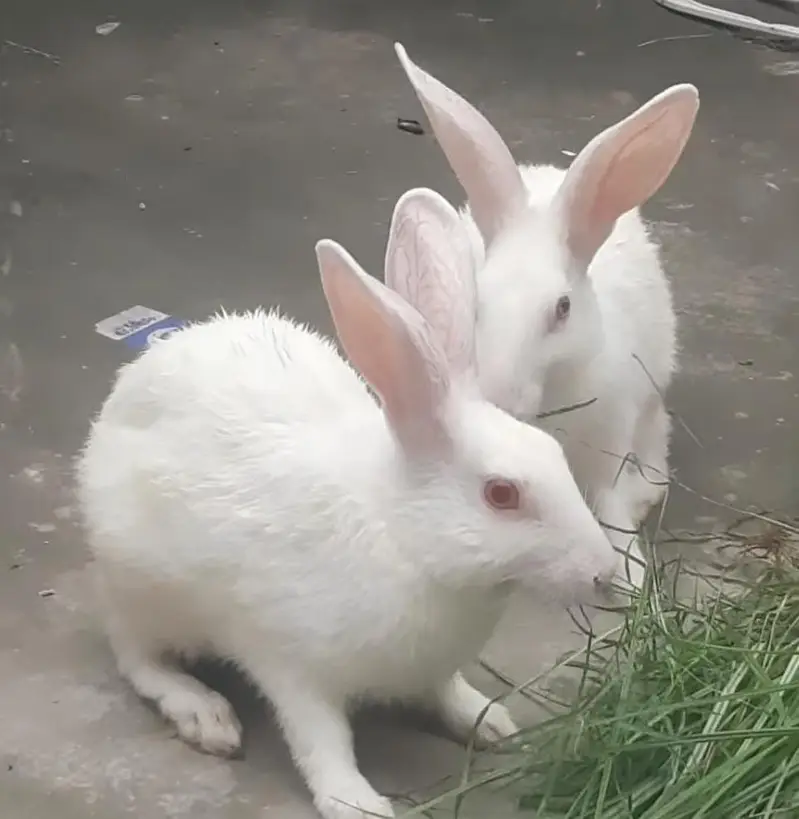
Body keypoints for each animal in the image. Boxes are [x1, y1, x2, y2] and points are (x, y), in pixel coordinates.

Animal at [75, 186, 620, 819]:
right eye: (501, 494)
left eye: (553, 453)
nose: (604, 572)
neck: (406, 537)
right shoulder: (290, 662)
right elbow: (320, 740)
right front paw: (357, 803)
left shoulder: (433, 666)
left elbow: (446, 691)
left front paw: (490, 722)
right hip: (143, 586)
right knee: (136, 655)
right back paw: (204, 713)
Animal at [393, 42, 700, 588]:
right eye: (478, 299)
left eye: (562, 308)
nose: (500, 396)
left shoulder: (608, 442)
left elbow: (608, 509)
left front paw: (631, 576)